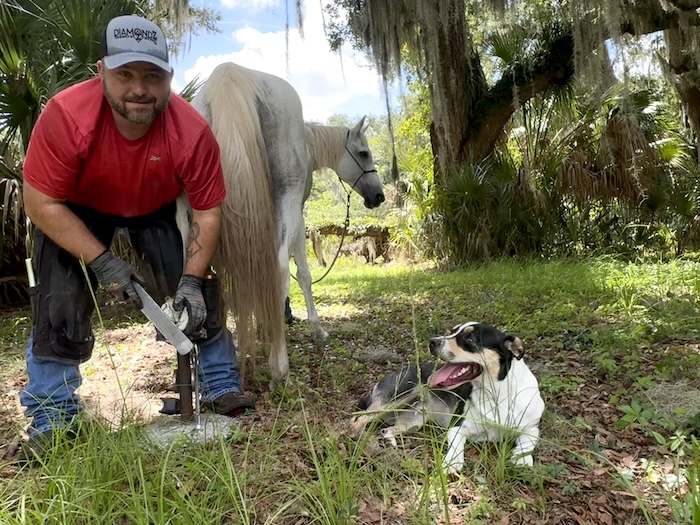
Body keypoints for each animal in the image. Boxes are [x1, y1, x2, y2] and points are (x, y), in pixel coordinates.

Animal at [190, 63, 382, 386]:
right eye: (364, 153)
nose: (379, 196)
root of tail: (229, 75)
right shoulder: (299, 215)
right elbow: (302, 274)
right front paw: (316, 328)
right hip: (286, 201)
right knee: (278, 270)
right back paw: (280, 367)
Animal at [352, 322, 544, 472]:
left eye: (470, 339)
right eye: (453, 331)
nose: (432, 342)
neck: (497, 394)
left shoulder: (531, 429)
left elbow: (527, 443)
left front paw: (522, 459)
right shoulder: (457, 428)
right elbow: (457, 446)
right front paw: (452, 462)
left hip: (414, 421)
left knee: (386, 429)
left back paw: (389, 441)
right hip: (394, 399)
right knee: (356, 420)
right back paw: (359, 438)